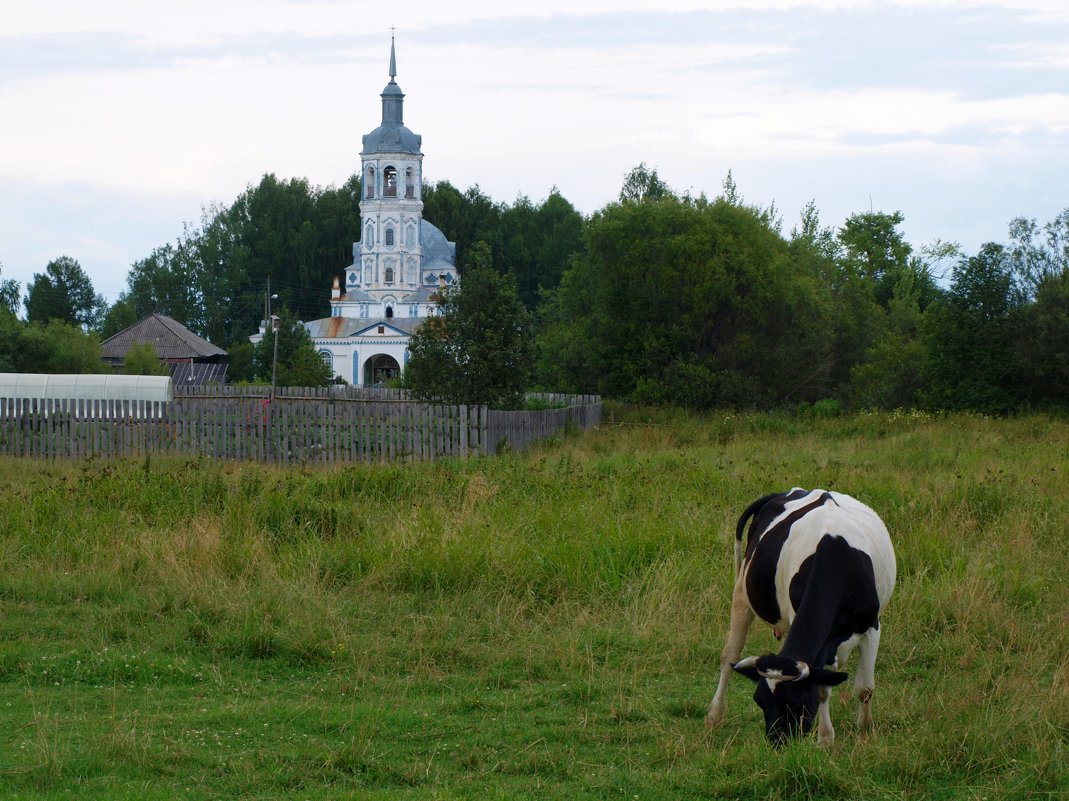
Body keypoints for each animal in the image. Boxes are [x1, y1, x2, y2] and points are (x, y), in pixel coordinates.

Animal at [705, 489, 897, 748]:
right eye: (759, 701)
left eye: (795, 703)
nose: (777, 742)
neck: (836, 560)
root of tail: (789, 491)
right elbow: (823, 689)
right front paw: (825, 738)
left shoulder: (871, 628)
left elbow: (864, 688)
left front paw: (865, 728)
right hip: (742, 594)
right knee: (730, 656)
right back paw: (714, 715)